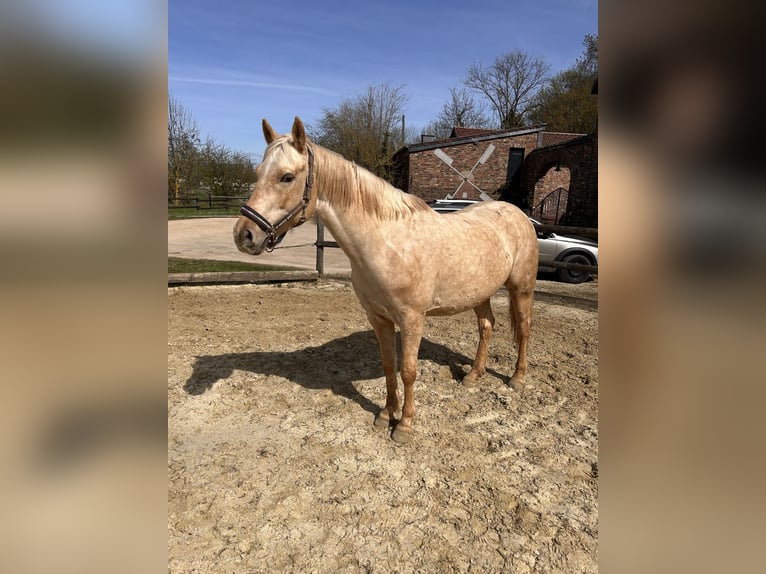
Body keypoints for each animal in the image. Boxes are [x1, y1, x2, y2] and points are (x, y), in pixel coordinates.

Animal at [233, 117, 538, 443]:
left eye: (287, 177)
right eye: (258, 174)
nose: (244, 235)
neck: (388, 243)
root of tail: (518, 214)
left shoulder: (412, 320)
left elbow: (408, 371)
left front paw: (404, 425)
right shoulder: (379, 318)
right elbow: (389, 365)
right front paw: (385, 414)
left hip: (521, 289)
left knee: (523, 329)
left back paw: (517, 378)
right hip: (479, 294)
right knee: (486, 326)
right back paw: (472, 375)